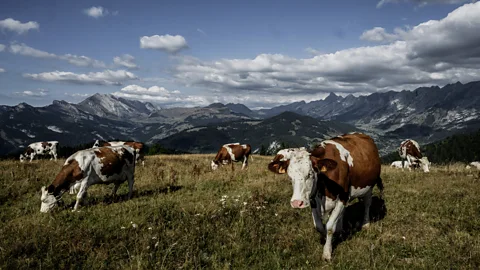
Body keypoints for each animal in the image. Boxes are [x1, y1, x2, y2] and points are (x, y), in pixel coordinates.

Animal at [268, 133, 384, 262]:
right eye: (290, 176)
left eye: (310, 174)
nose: (297, 203)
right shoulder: (313, 200)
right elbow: (319, 226)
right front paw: (325, 239)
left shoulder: (342, 197)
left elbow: (329, 227)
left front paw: (327, 252)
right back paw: (340, 228)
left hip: (369, 186)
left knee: (367, 204)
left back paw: (365, 223)